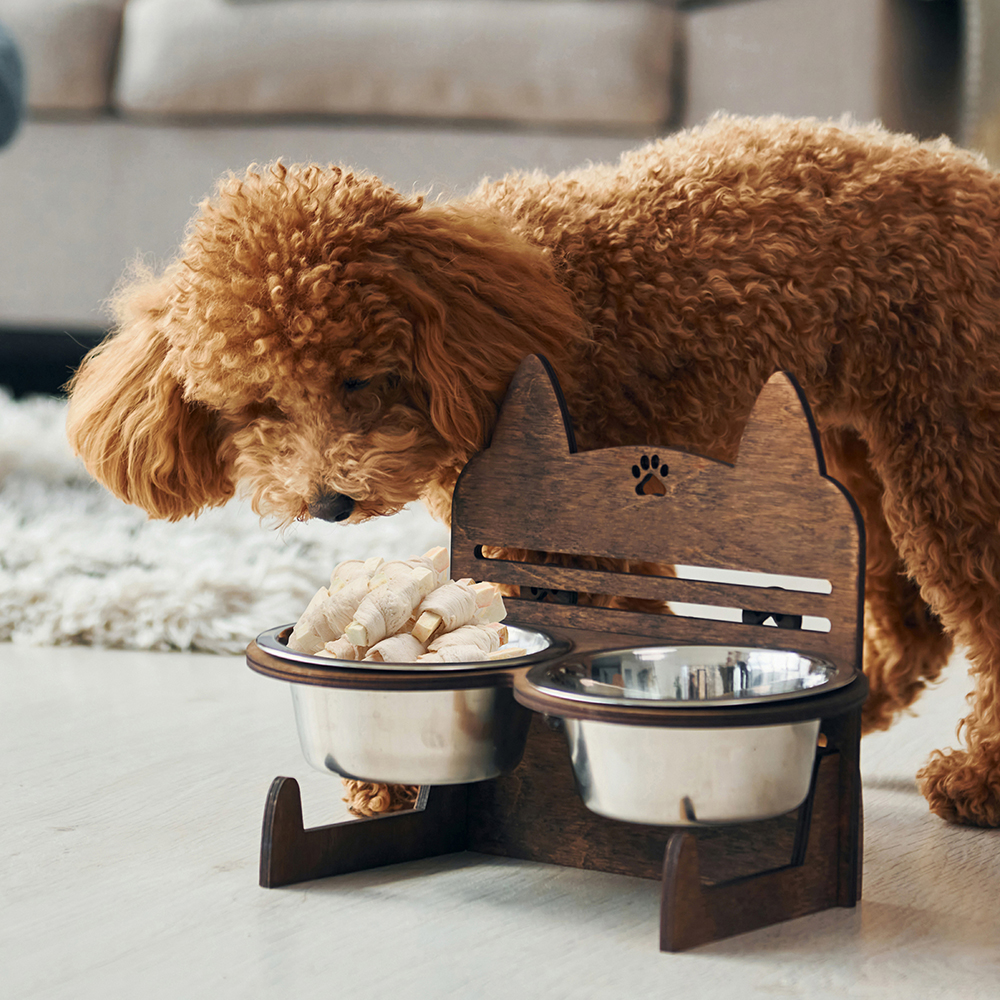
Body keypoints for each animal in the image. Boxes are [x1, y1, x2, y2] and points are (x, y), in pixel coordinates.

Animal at [70, 113, 1000, 824]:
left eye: (359, 379)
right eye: (259, 404)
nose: (330, 501)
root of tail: (974, 173)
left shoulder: (603, 554)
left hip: (949, 447)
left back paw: (976, 780)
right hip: (853, 451)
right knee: (910, 623)